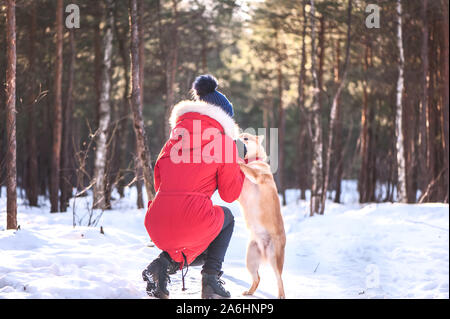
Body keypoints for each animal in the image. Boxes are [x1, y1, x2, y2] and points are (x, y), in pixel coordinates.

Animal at [237, 132, 286, 300]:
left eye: (246, 138)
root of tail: (264, 253)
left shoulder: (257, 176)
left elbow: (245, 167)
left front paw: (238, 161)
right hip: (250, 259)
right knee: (257, 278)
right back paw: (249, 292)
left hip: (275, 258)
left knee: (279, 281)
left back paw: (281, 295)